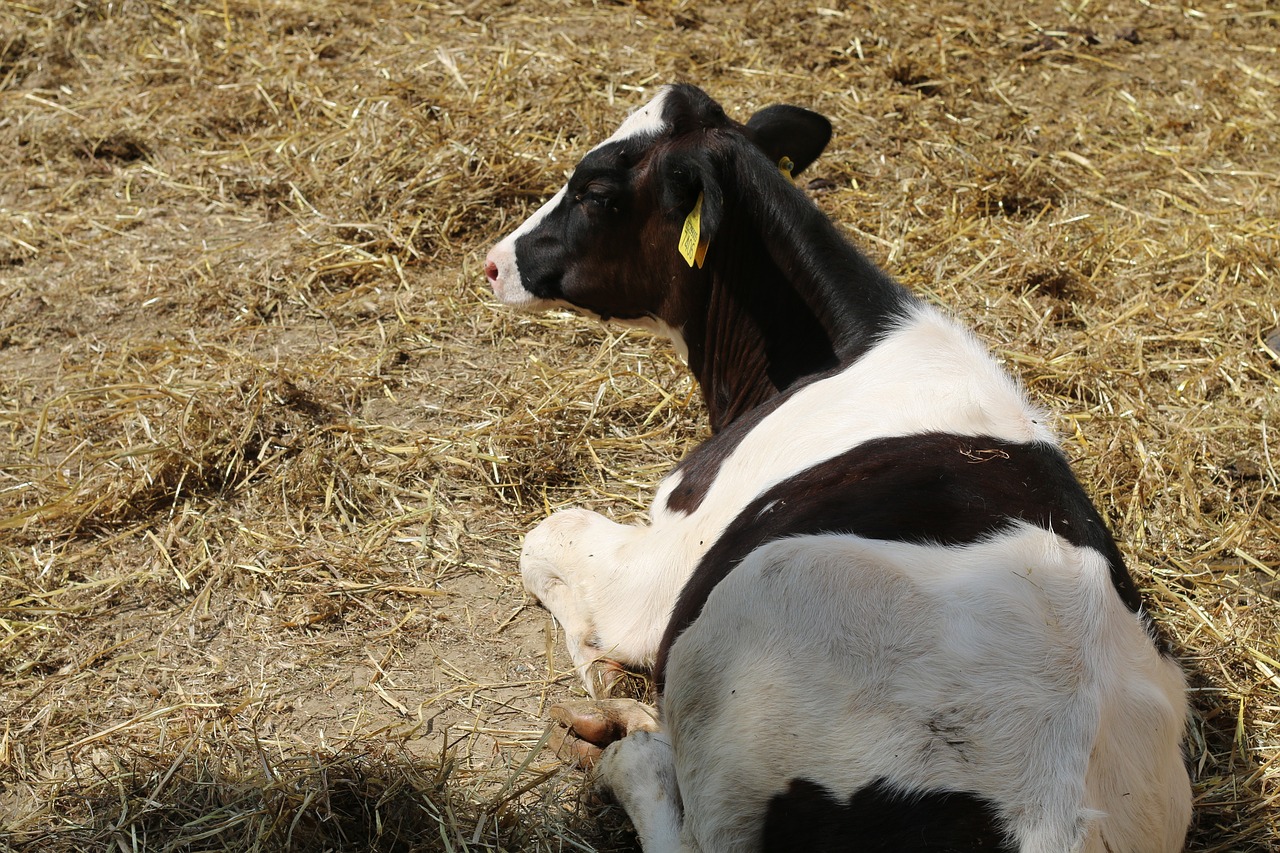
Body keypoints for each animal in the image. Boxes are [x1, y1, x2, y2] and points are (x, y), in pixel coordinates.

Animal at [481, 84, 1187, 850]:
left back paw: (628, 747)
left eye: (595, 192)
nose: (494, 261)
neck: (848, 349)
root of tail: (1053, 814)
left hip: (744, 631)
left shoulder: (661, 572)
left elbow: (544, 539)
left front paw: (600, 669)